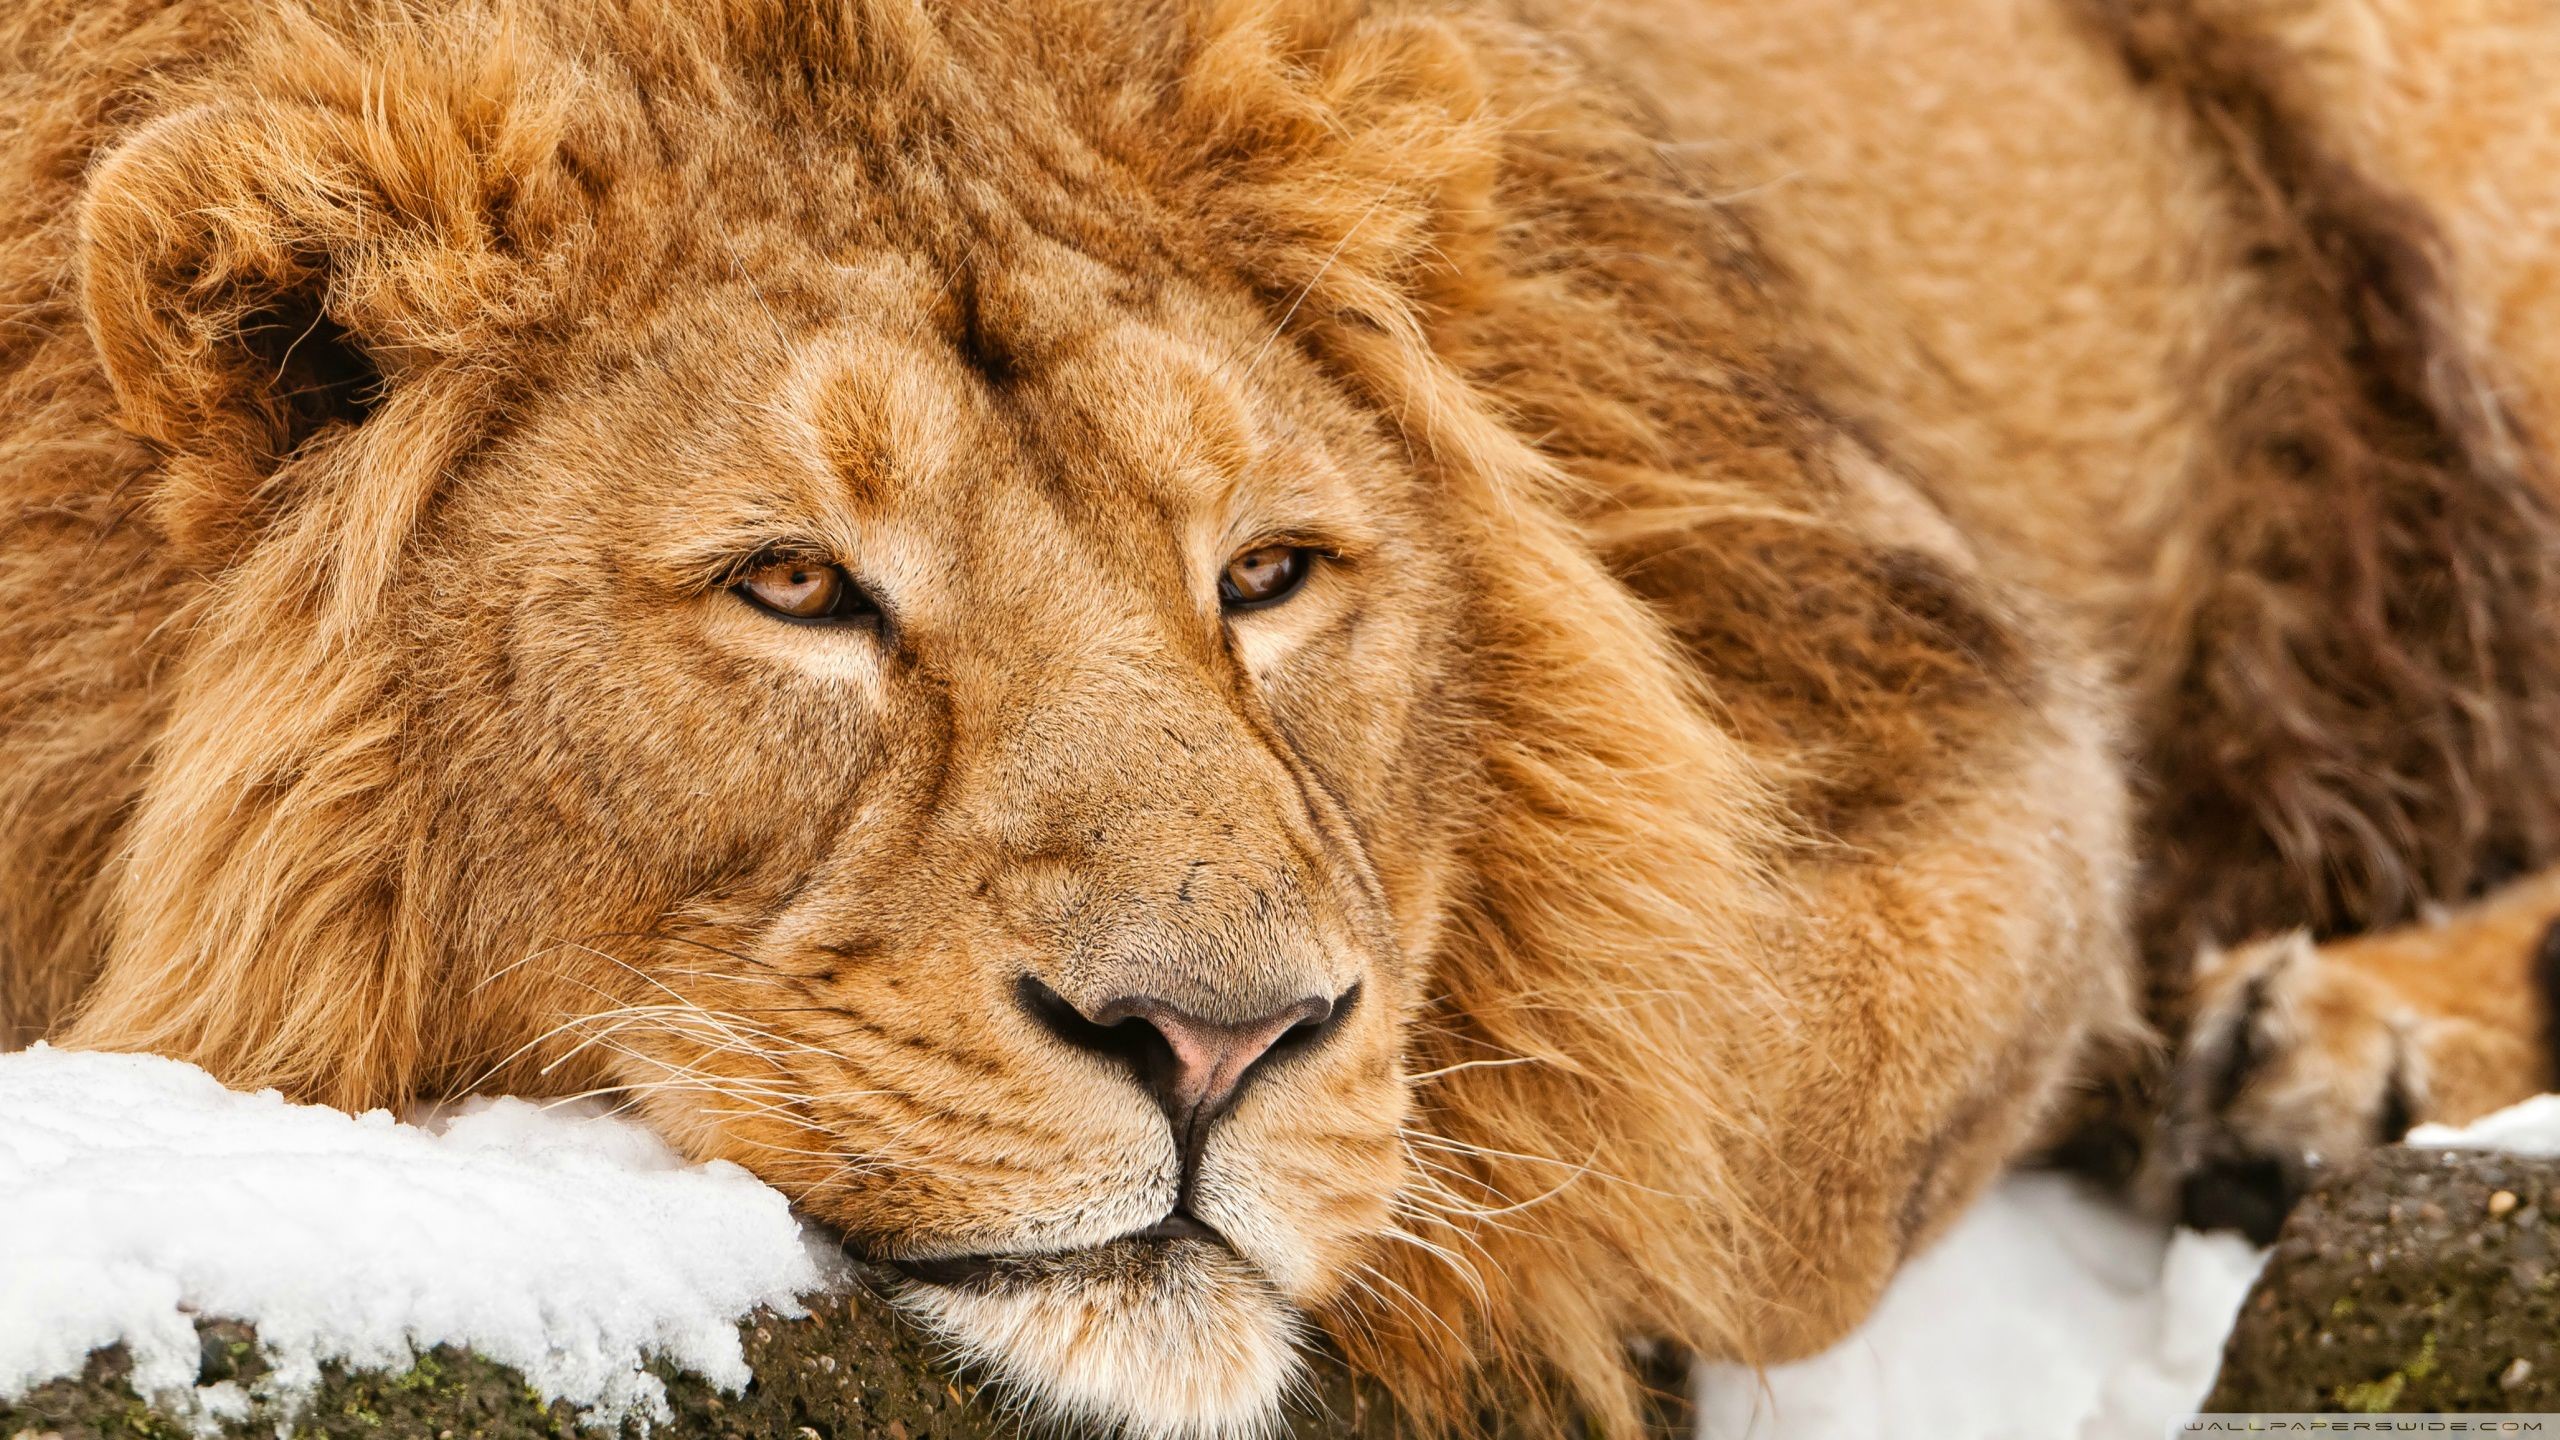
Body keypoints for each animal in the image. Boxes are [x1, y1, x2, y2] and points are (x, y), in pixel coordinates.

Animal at [6, 0, 2560, 1433]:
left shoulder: (1906, 624)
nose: (1214, 1046)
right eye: (794, 586)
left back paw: (2329, 1062)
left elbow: (1746, 1113)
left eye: (1263, 576)